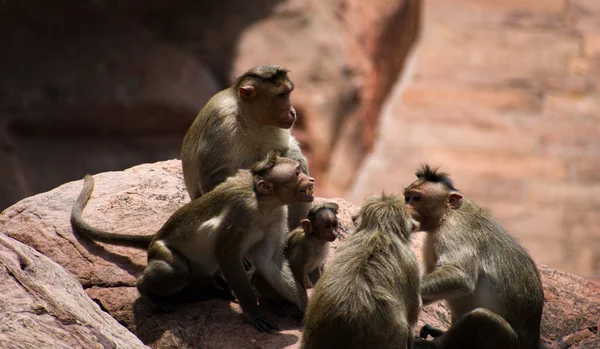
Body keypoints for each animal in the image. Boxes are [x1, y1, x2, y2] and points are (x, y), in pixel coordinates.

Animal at [71, 151, 316, 330]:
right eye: (297, 173)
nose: (311, 179)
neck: (264, 202)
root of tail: (155, 237)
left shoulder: (278, 215)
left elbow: (268, 261)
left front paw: (303, 305)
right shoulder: (242, 211)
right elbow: (226, 255)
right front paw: (253, 313)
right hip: (162, 252)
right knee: (178, 271)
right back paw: (147, 292)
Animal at [180, 64, 312, 230]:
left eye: (288, 93)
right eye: (281, 95)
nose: (292, 112)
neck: (250, 119)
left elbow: (287, 152)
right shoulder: (222, 119)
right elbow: (218, 176)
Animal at [404, 164, 548, 348]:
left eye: (416, 198)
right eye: (407, 197)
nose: (404, 207)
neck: (447, 215)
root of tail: (534, 341)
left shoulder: (453, 231)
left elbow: (460, 277)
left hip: (509, 341)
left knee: (481, 318)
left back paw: (435, 345)